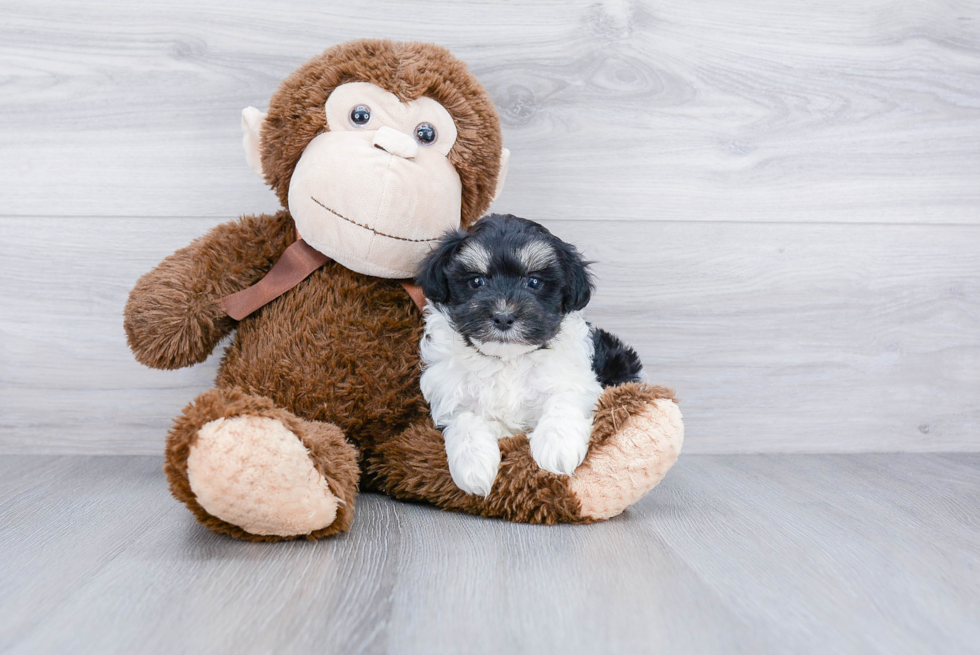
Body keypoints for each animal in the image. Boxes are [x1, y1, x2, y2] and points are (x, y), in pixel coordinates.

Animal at [414, 215, 644, 498]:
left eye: (533, 282)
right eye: (477, 281)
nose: (503, 317)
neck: (507, 359)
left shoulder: (578, 380)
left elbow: (564, 399)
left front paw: (557, 447)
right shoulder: (449, 395)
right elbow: (463, 419)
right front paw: (473, 466)